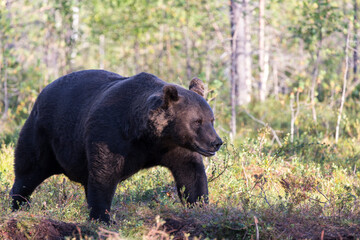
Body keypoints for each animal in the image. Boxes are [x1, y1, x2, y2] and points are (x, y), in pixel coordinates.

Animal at [10, 70, 222, 223]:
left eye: (211, 119)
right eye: (197, 121)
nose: (216, 142)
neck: (148, 136)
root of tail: (43, 91)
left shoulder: (175, 147)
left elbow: (191, 174)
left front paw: (200, 206)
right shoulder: (111, 134)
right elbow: (104, 174)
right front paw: (103, 217)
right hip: (44, 133)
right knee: (30, 169)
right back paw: (19, 204)